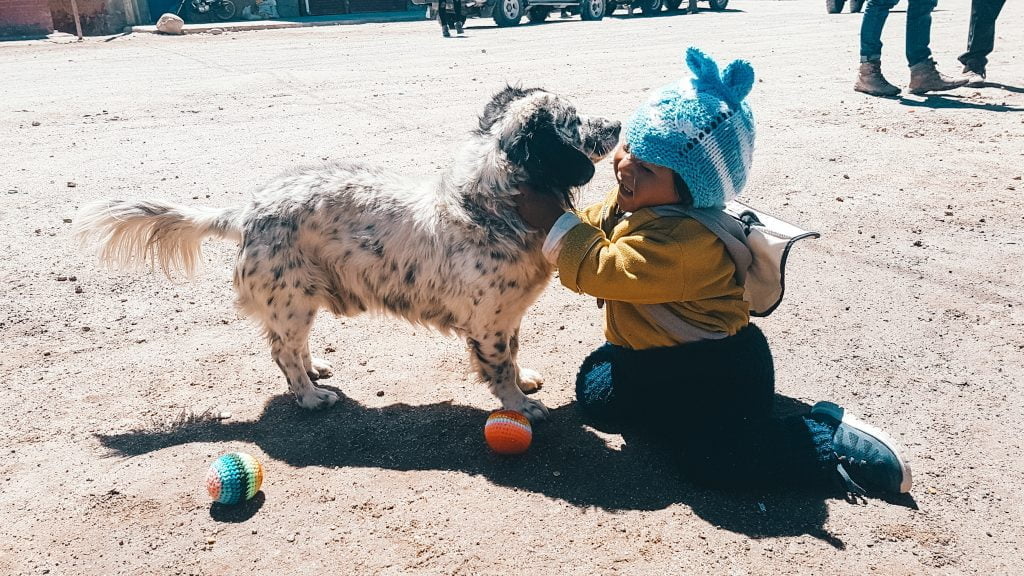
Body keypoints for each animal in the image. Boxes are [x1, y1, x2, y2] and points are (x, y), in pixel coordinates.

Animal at [75, 87, 618, 422]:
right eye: (573, 122)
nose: (615, 123)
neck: (486, 208)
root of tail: (247, 211)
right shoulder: (487, 324)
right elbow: (498, 369)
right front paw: (519, 406)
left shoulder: (507, 317)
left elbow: (515, 356)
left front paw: (525, 383)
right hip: (291, 299)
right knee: (281, 352)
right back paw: (311, 397)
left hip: (298, 301)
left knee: (292, 348)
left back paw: (315, 372)